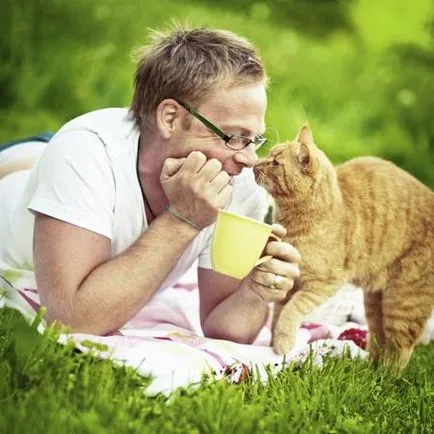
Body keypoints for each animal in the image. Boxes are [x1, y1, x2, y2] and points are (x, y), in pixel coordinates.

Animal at [254, 126, 434, 370]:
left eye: (275, 162)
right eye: (269, 154)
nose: (255, 165)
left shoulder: (322, 284)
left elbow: (292, 310)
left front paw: (282, 343)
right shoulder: (289, 282)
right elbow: (278, 313)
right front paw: (276, 348)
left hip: (403, 301)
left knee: (400, 348)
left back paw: (385, 375)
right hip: (375, 301)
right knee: (378, 337)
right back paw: (369, 368)